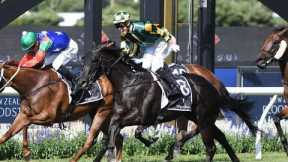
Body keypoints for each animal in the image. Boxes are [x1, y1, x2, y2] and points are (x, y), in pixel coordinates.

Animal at [90, 46, 256, 161]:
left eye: (93, 63)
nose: (85, 84)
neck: (132, 82)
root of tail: (214, 84)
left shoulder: (144, 116)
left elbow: (134, 131)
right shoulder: (120, 117)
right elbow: (113, 134)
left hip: (202, 118)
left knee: (206, 141)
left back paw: (174, 149)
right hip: (198, 117)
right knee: (218, 135)